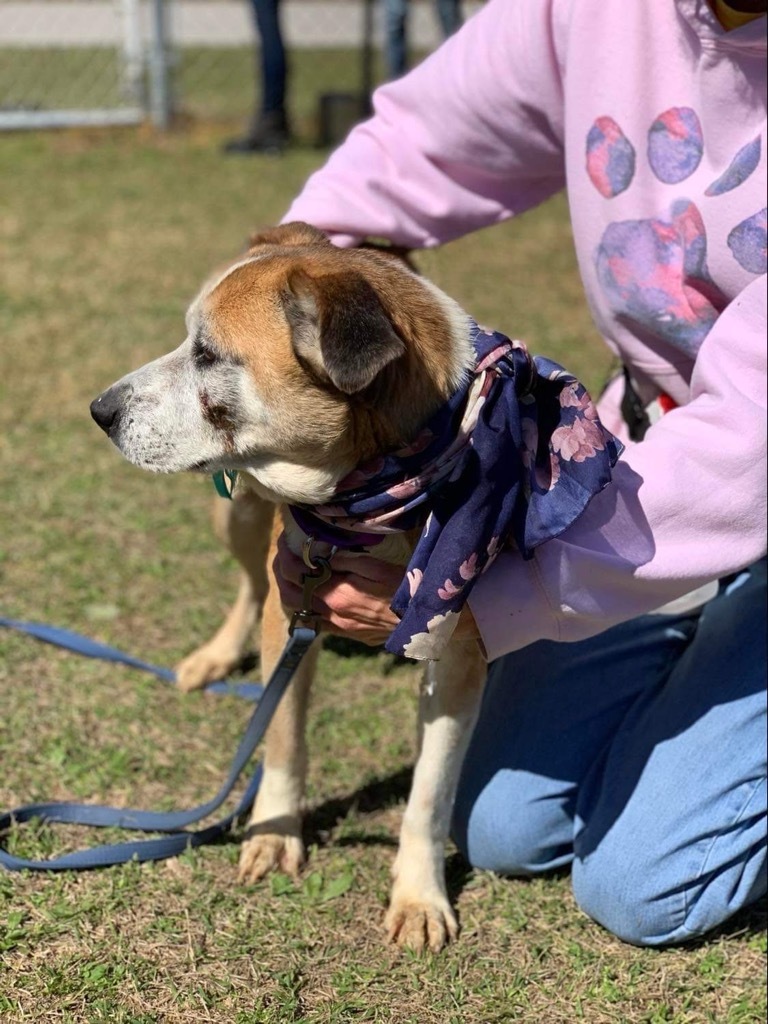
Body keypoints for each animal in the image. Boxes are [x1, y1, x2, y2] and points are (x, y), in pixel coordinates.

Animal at [90, 224, 487, 950]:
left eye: (208, 353)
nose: (99, 410)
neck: (375, 497)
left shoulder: (458, 646)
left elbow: (431, 790)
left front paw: (420, 896)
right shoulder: (292, 605)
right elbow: (281, 734)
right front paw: (275, 834)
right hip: (237, 513)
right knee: (246, 586)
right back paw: (215, 656)